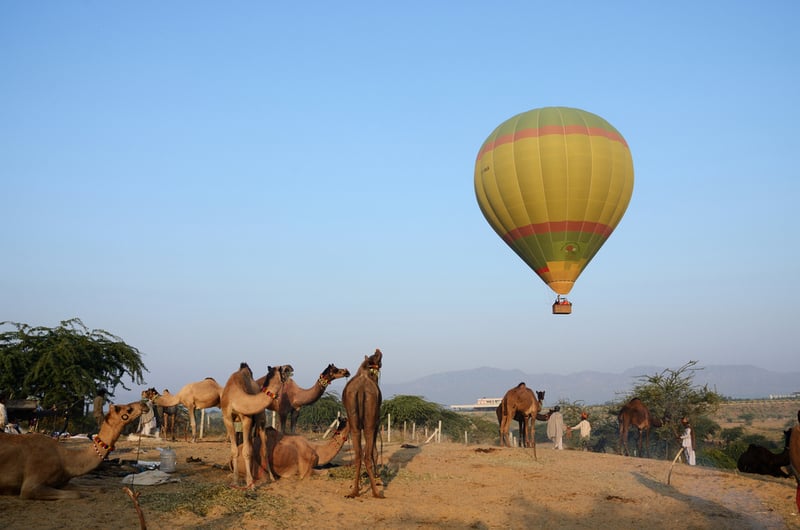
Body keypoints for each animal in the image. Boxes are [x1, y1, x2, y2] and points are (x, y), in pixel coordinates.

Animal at [0, 400, 147, 500]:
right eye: (128, 409)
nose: (144, 404)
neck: (65, 459)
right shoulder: (31, 486)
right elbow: (77, 494)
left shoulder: (62, 483)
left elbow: (99, 489)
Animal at [340, 346, 384, 496]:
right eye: (377, 358)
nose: (378, 350)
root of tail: (360, 389)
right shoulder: (376, 423)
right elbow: (374, 452)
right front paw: (378, 478)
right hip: (370, 423)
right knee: (367, 455)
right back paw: (376, 492)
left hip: (353, 424)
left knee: (358, 455)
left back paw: (354, 490)